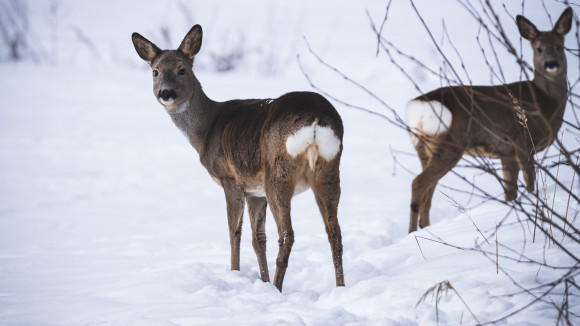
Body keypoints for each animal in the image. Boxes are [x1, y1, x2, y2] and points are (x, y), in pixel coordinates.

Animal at [131, 24, 344, 292]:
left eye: (182, 69)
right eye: (155, 72)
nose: (165, 93)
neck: (206, 130)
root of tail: (315, 120)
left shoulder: (230, 179)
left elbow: (234, 231)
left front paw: (235, 273)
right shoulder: (255, 191)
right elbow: (258, 238)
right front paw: (262, 281)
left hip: (278, 173)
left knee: (287, 234)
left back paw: (278, 288)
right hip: (328, 168)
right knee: (334, 231)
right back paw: (340, 287)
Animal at [406, 7, 572, 232]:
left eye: (559, 46)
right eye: (538, 49)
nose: (551, 64)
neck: (544, 100)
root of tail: (418, 107)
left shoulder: (506, 152)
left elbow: (510, 192)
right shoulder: (523, 140)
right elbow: (529, 182)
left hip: (424, 148)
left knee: (428, 191)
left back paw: (423, 229)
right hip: (448, 145)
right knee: (418, 183)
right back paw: (413, 232)